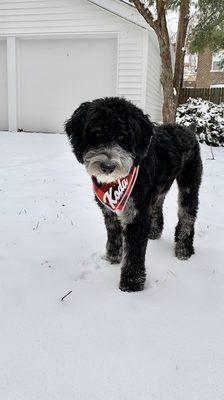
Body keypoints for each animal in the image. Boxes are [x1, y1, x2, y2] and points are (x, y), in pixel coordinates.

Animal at [65, 97, 203, 290]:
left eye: (123, 137)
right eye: (97, 135)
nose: (107, 167)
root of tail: (188, 129)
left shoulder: (136, 214)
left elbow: (134, 252)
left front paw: (131, 284)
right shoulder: (109, 211)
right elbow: (114, 235)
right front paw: (113, 258)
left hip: (189, 183)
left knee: (188, 214)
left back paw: (184, 249)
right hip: (160, 187)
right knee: (157, 206)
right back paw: (154, 232)